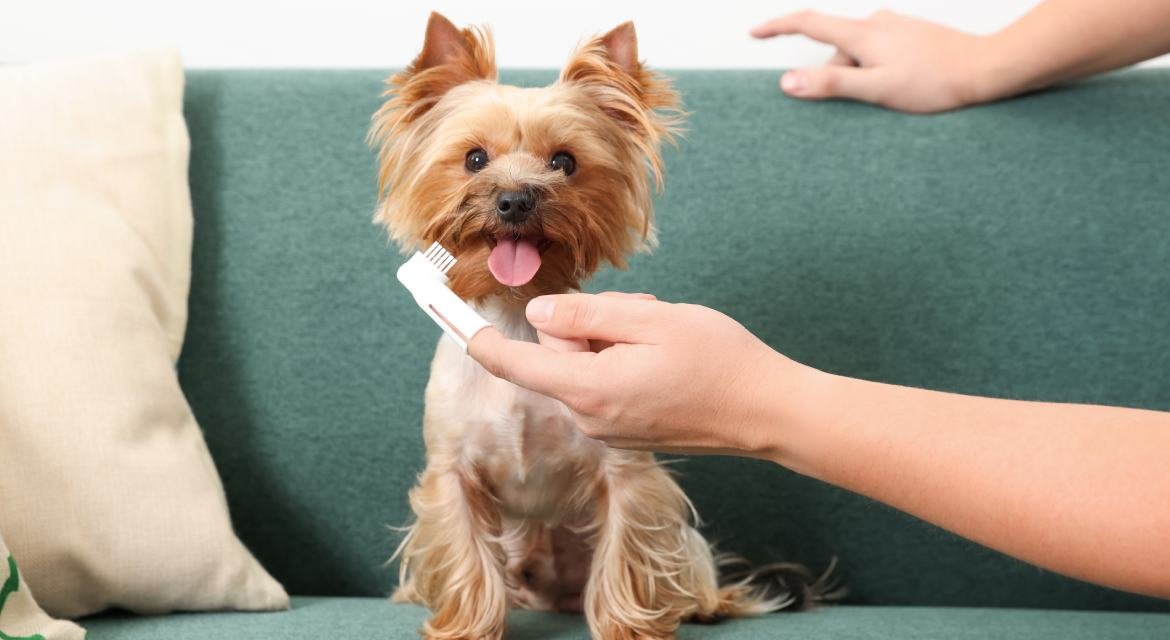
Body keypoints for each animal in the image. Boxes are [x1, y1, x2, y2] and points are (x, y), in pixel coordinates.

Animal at [369, 11, 828, 640]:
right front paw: (466, 626)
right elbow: (465, 554)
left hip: (677, 543)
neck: (513, 313)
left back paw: (704, 603)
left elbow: (626, 551)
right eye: (474, 159)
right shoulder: (452, 472)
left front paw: (627, 627)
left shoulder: (627, 472)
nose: (516, 199)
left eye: (564, 161)